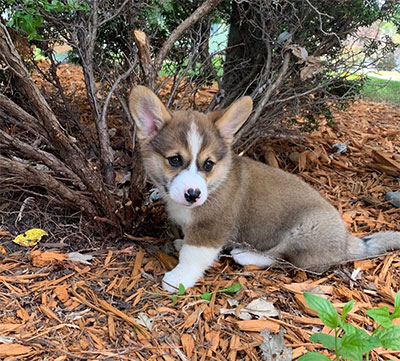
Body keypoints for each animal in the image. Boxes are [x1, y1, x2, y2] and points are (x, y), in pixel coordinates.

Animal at [129, 86, 400, 292]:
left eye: (208, 164)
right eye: (174, 160)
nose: (193, 195)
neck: (216, 183)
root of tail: (347, 242)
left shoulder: (212, 228)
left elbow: (193, 255)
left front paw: (178, 278)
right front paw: (180, 243)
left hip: (303, 232)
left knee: (280, 257)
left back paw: (245, 255)